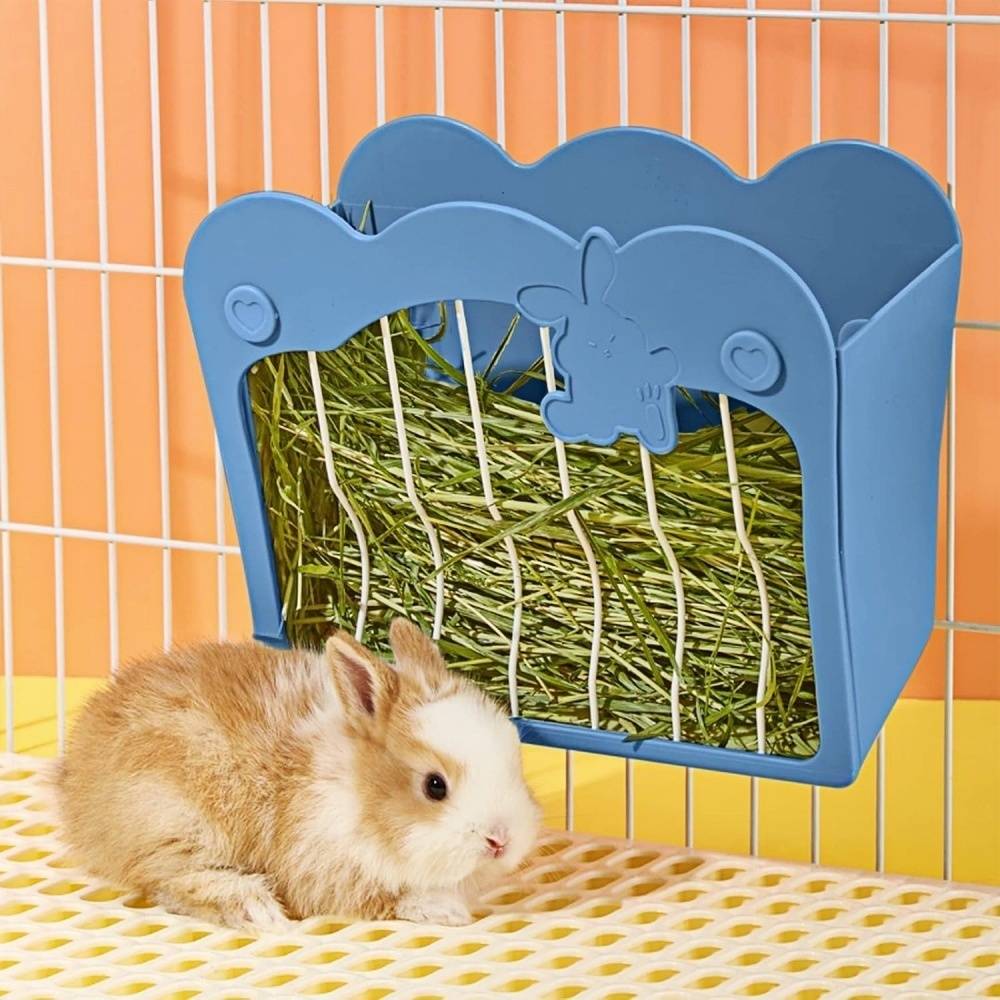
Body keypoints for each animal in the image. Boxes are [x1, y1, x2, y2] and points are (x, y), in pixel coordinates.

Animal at [54, 618, 542, 931]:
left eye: (514, 760)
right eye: (434, 786)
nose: (501, 841)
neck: (355, 792)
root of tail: (75, 782)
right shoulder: (320, 867)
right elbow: (381, 899)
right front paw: (444, 910)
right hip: (177, 824)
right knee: (168, 880)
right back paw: (253, 907)